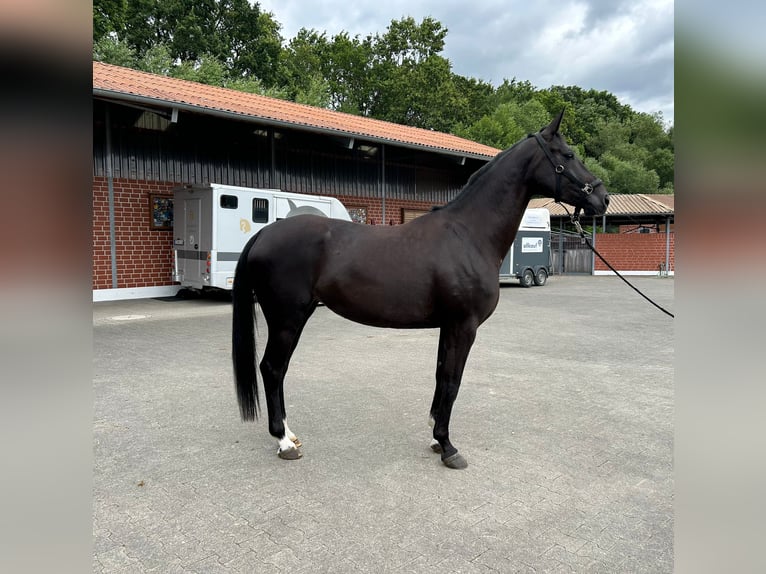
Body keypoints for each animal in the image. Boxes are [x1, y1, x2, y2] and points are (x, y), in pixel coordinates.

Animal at [232, 110, 609, 469]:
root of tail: (264, 233)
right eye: (568, 154)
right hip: (287, 319)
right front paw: (448, 447)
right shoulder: (464, 325)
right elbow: (453, 381)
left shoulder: (449, 326)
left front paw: (435, 438)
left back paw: (289, 435)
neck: (468, 234)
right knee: (272, 369)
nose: (602, 198)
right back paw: (283, 441)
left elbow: (442, 376)